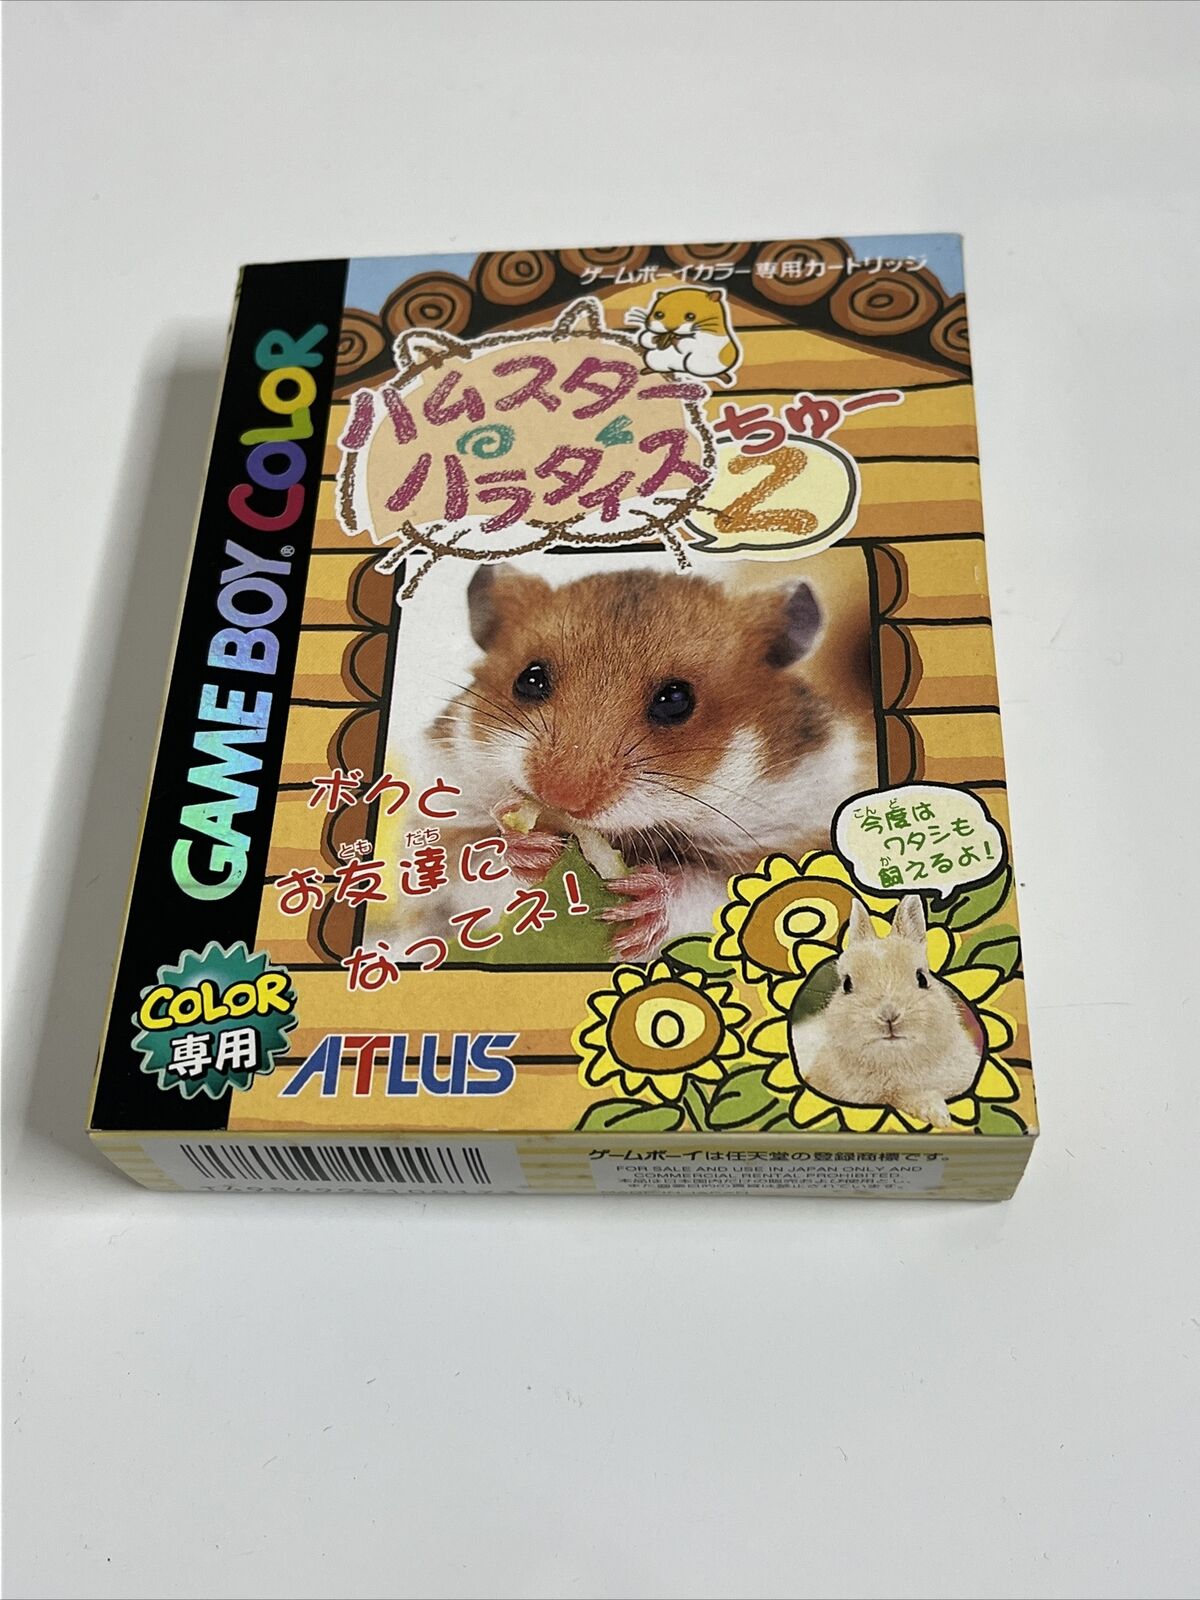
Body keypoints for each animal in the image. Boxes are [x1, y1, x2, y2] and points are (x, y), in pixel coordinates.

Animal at [429, 563, 866, 960]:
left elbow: (708, 892)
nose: (561, 797)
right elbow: (478, 869)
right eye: (529, 680)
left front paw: (647, 895)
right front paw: (526, 845)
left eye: (676, 700)